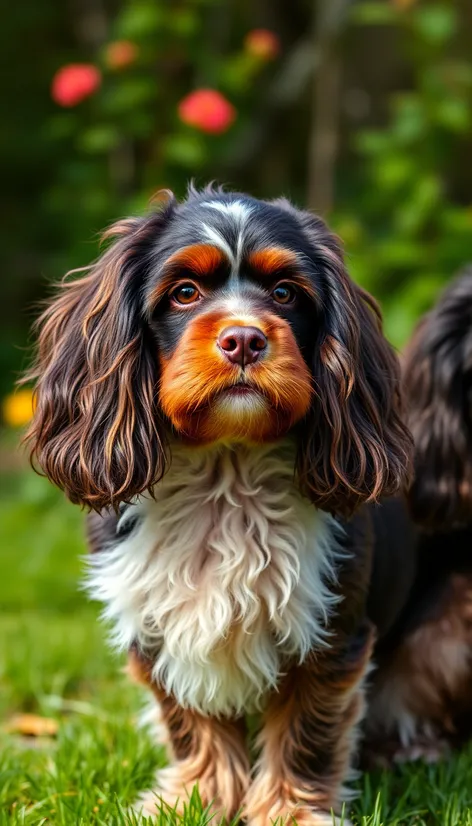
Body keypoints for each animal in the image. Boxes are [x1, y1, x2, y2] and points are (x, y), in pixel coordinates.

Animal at [24, 188, 412, 824]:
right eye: (184, 292)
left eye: (284, 293)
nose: (245, 339)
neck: (224, 475)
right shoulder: (159, 626)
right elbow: (193, 723)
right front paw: (192, 800)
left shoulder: (329, 634)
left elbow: (305, 732)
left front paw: (289, 812)